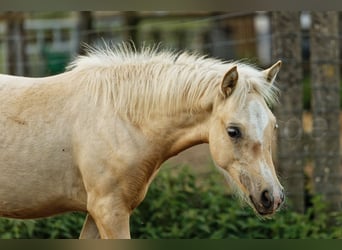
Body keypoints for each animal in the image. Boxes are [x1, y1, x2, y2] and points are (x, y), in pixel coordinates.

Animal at [0, 43, 284, 238]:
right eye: (233, 131)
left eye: (273, 125)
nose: (272, 197)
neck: (120, 117)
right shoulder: (109, 211)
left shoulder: (97, 214)